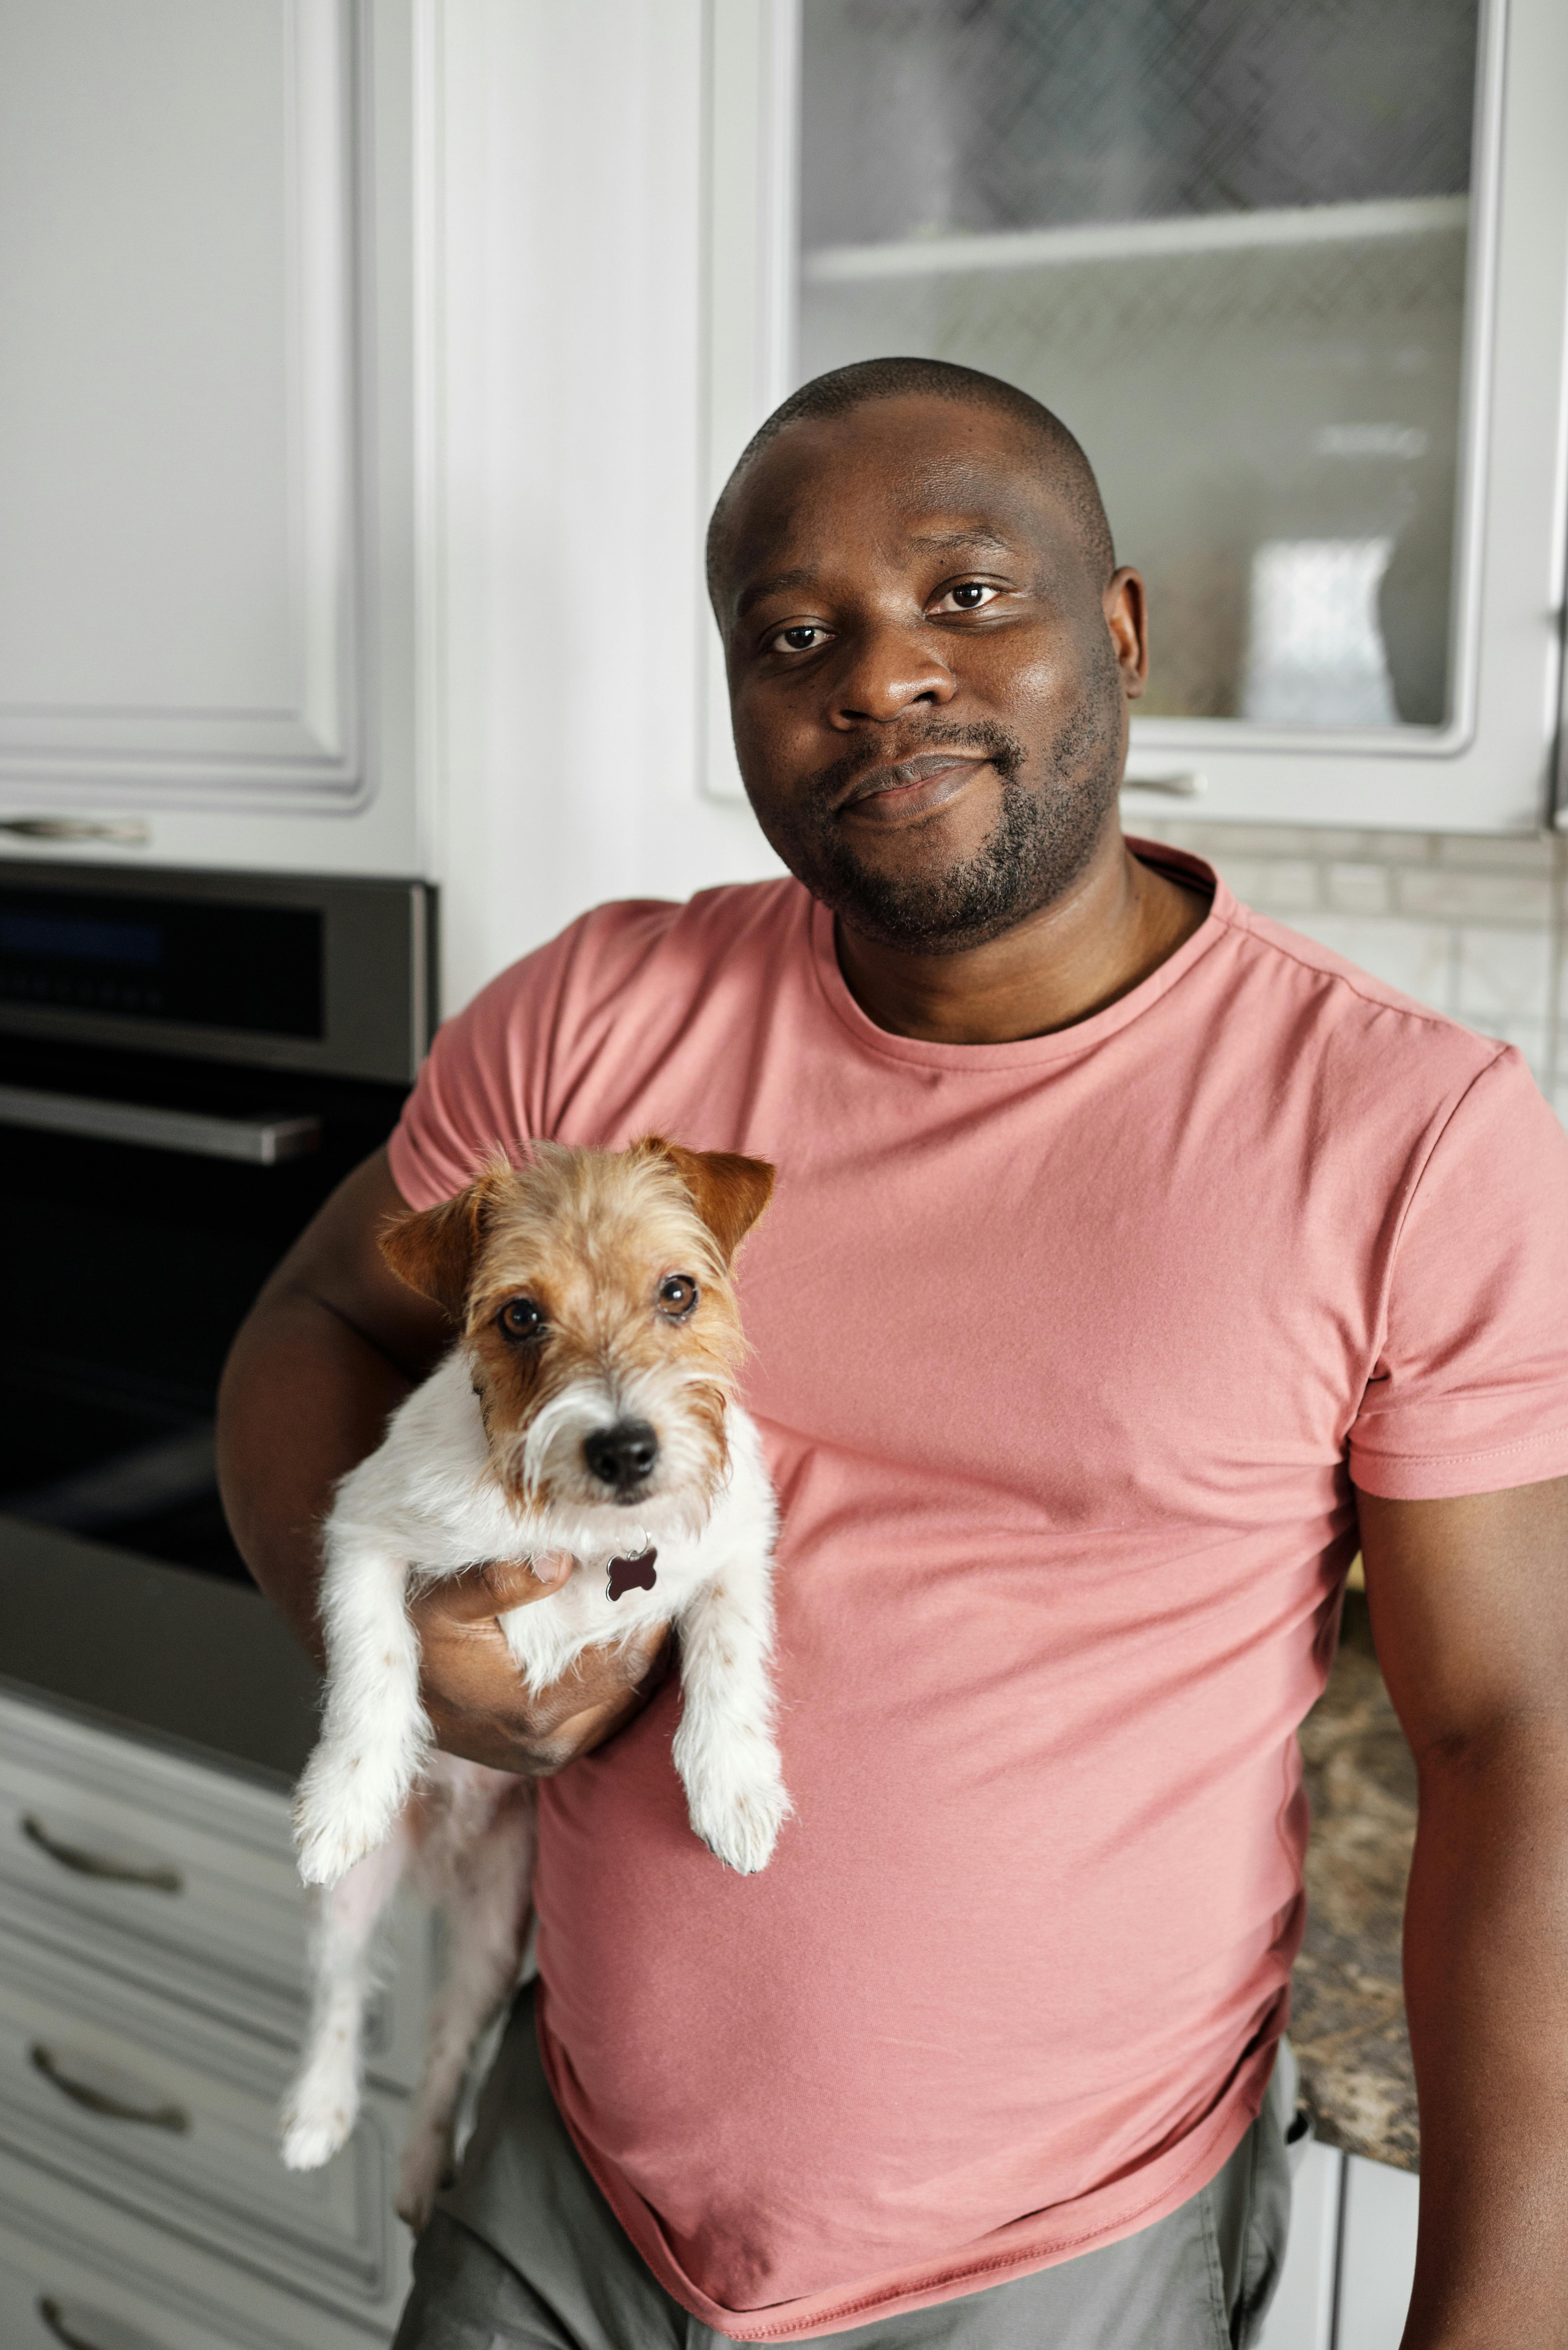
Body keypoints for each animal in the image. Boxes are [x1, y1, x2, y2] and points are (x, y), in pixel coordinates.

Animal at [281, 1137, 785, 2218]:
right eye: (520, 1315)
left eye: (677, 1290)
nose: (625, 1448)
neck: (576, 1521)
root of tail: (443, 1852)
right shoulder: (364, 1531)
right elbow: (377, 1661)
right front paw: (346, 1792)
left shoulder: (730, 1545)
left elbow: (729, 1658)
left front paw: (733, 1790)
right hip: (354, 1906)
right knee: (341, 1992)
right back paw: (319, 2113)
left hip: (493, 1933)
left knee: (443, 2055)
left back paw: (421, 2169)